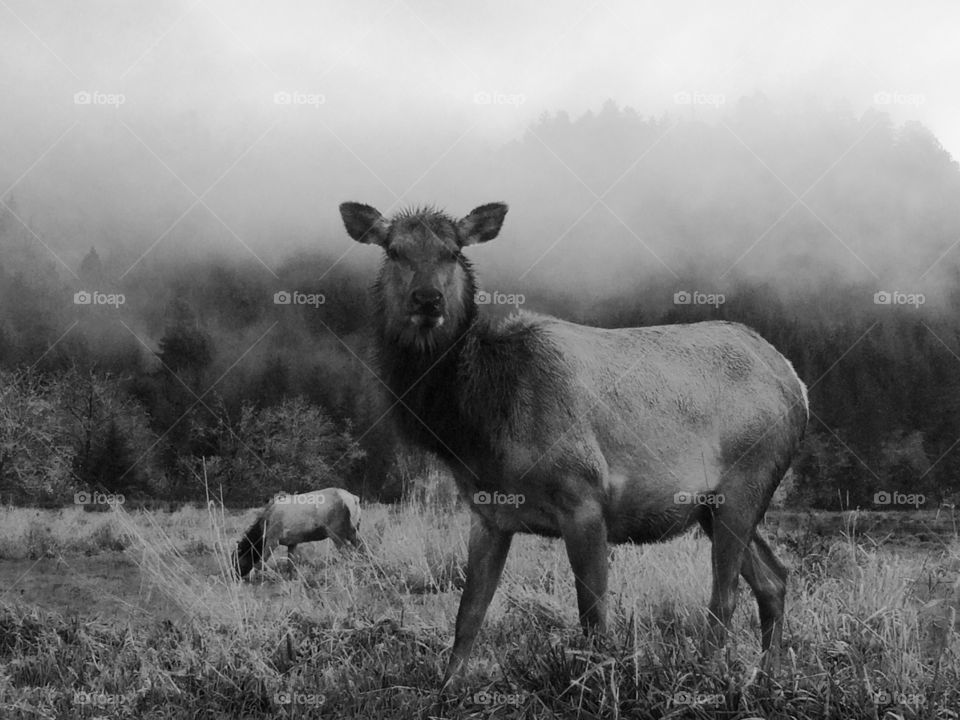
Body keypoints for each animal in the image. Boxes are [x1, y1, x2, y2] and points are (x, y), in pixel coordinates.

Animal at [342, 200, 808, 684]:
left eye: (453, 251)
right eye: (394, 250)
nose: (428, 299)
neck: (479, 428)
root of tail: (796, 381)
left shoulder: (584, 496)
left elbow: (594, 619)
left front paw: (598, 682)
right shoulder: (488, 513)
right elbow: (468, 614)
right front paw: (448, 685)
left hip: (747, 479)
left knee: (725, 596)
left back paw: (711, 676)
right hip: (711, 507)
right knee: (774, 579)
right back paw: (769, 676)